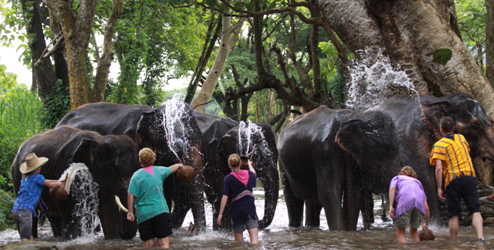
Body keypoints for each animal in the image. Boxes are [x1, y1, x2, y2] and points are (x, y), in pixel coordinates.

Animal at [10, 126, 141, 239]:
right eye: (114, 171)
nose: (123, 231)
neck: (97, 139)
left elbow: (108, 212)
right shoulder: (66, 167)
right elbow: (71, 215)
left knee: (54, 217)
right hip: (17, 176)